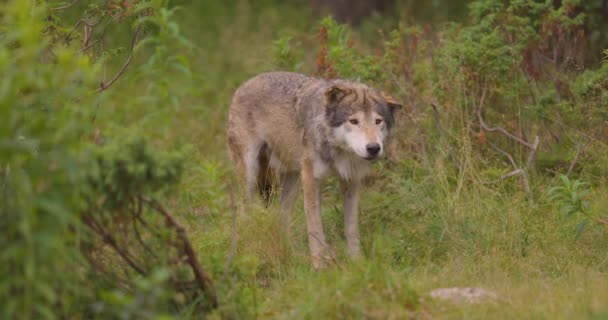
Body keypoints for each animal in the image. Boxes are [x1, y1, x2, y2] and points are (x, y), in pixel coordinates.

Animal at [226, 72, 402, 268]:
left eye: (378, 121)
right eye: (354, 121)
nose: (373, 148)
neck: (336, 150)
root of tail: (246, 83)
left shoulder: (350, 180)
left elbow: (351, 227)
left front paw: (357, 262)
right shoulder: (311, 180)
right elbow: (315, 228)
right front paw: (319, 266)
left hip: (292, 181)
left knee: (281, 218)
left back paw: (291, 255)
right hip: (251, 174)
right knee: (244, 212)